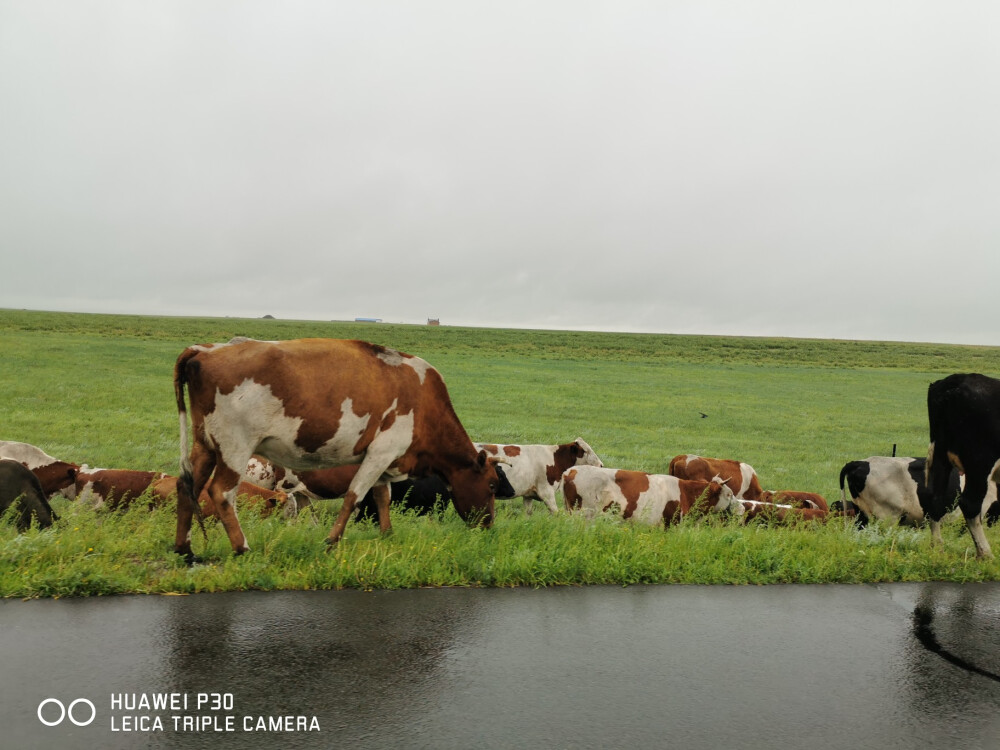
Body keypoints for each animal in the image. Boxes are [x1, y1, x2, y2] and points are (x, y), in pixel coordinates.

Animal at [474, 440, 604, 516]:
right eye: (585, 451)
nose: (601, 465)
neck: (555, 459)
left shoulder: (528, 495)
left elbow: (528, 513)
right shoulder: (546, 492)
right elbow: (556, 513)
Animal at [920, 374, 1000, 560]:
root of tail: (957, 380)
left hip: (940, 455)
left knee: (935, 498)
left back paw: (937, 548)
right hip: (980, 462)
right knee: (970, 503)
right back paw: (985, 554)